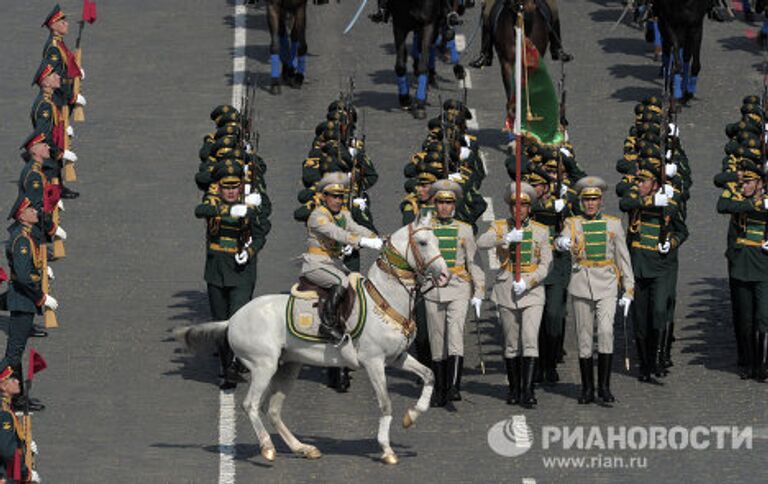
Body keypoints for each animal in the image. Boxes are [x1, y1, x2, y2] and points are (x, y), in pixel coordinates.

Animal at [174, 214, 450, 464]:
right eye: (423, 242)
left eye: (438, 240)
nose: (445, 276)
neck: (383, 299)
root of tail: (233, 319)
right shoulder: (374, 362)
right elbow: (385, 404)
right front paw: (388, 450)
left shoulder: (397, 357)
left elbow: (429, 375)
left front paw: (411, 416)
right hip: (264, 366)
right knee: (251, 405)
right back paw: (267, 448)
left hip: (289, 367)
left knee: (272, 410)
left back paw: (303, 448)